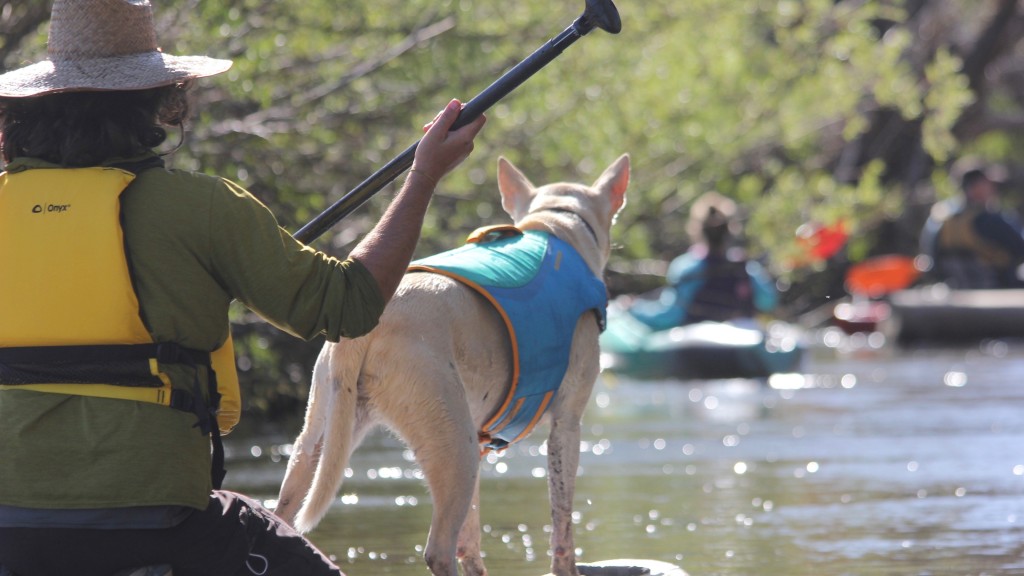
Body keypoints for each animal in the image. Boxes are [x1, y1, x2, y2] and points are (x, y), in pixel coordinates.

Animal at [274, 154, 622, 573]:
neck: (556, 223)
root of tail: (365, 328)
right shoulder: (567, 424)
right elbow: (562, 525)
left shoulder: (481, 440)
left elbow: (470, 539)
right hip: (455, 445)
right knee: (438, 548)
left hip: (322, 435)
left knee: (285, 509)